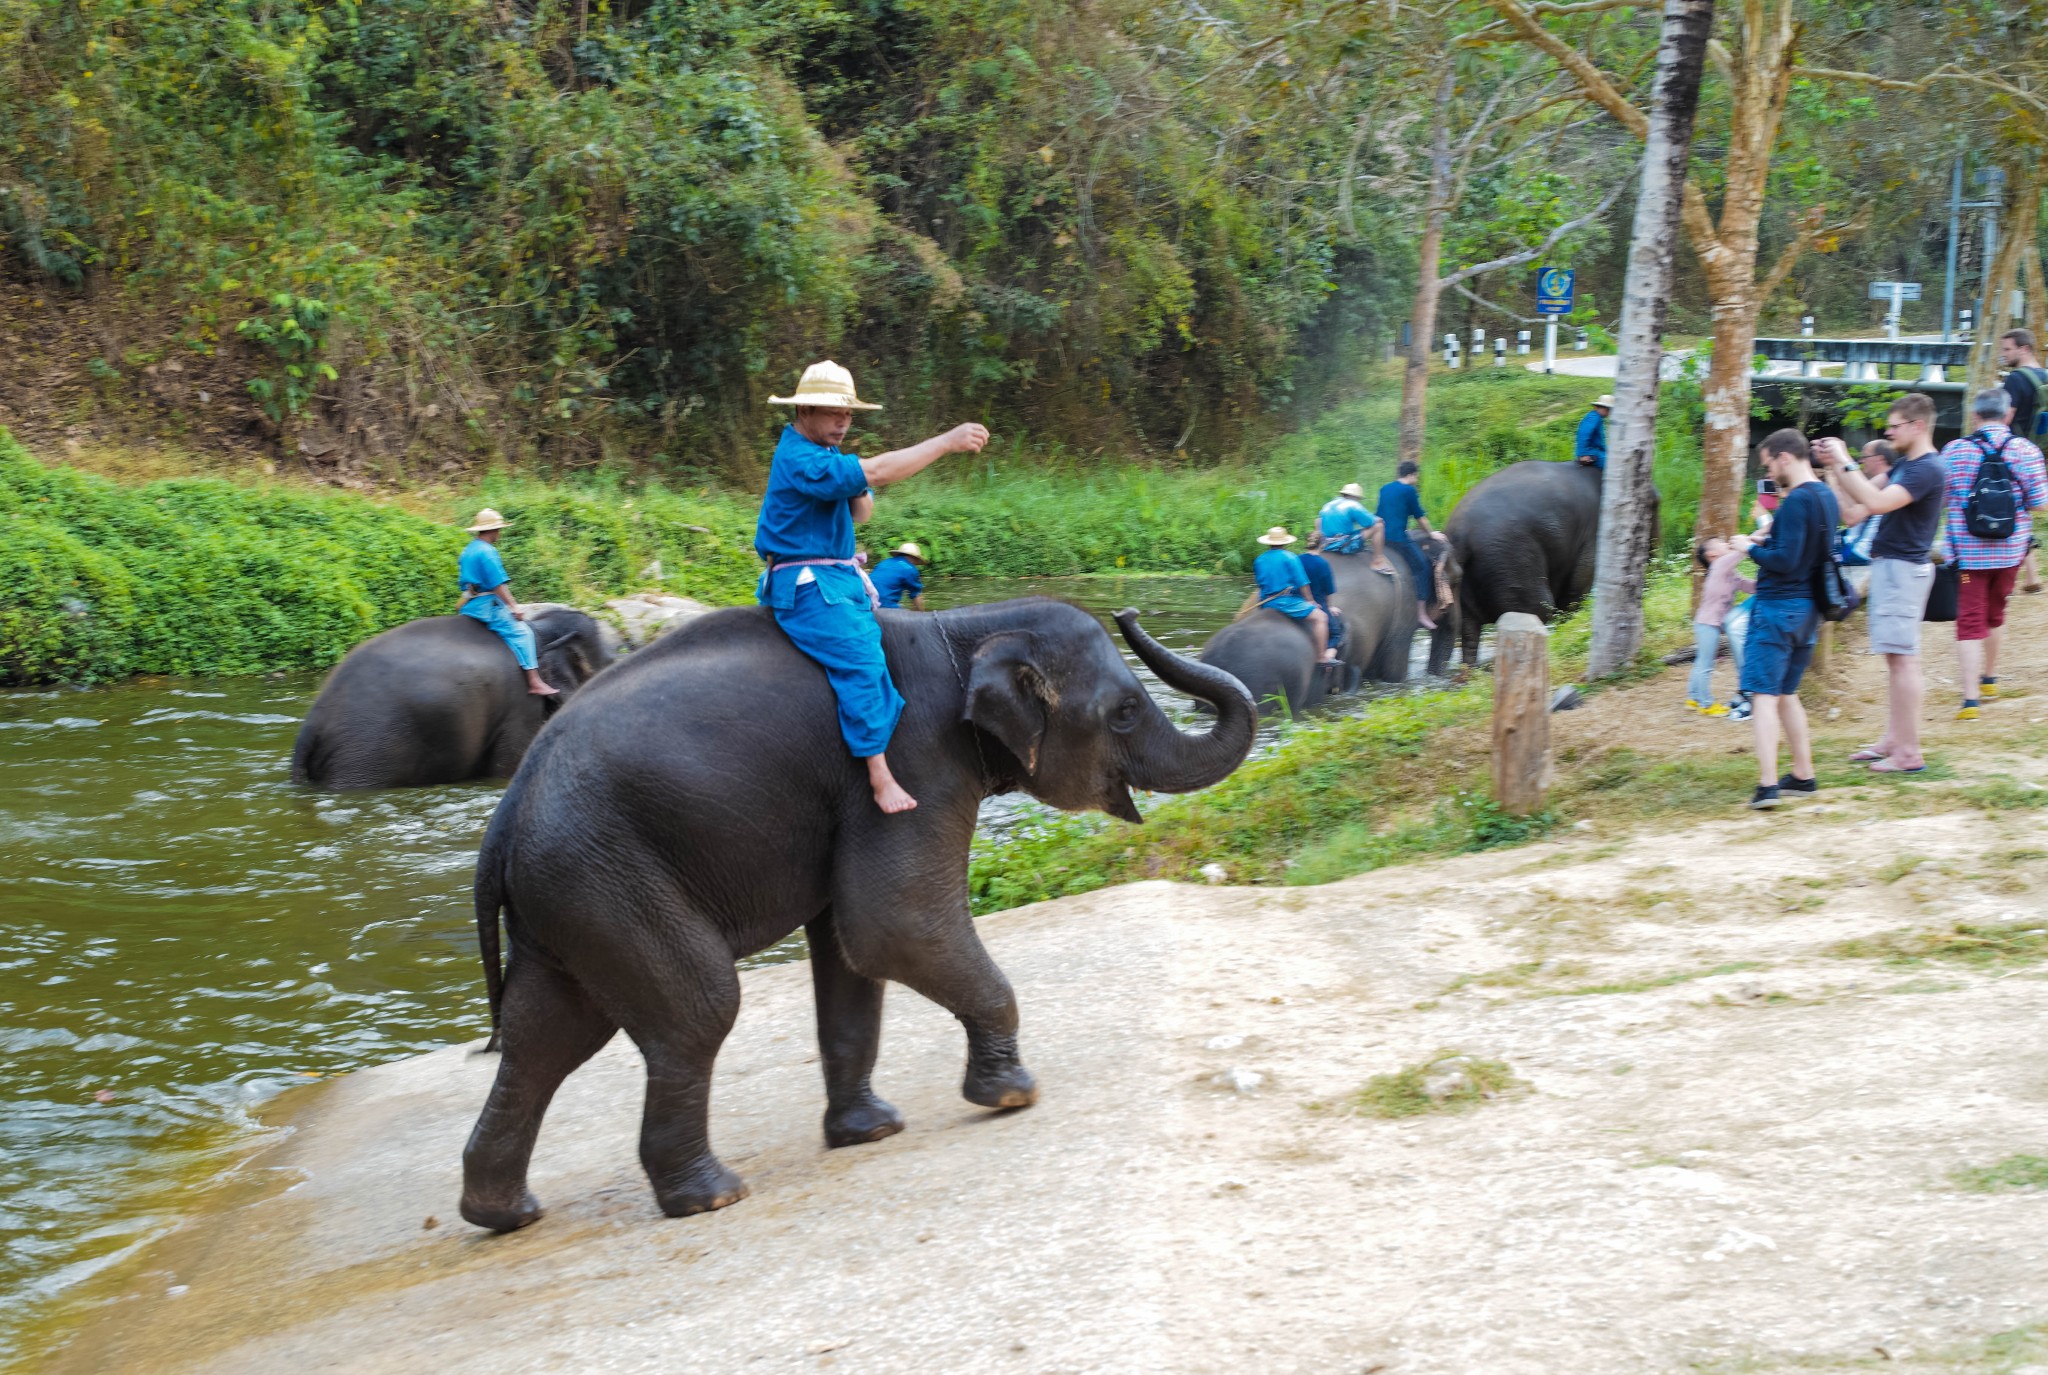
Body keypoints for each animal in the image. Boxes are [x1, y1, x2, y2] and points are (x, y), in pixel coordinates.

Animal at [458, 598, 1253, 1229]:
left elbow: (850, 952)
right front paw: (1013, 1095)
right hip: (603, 869)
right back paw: (711, 1197)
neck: (962, 629)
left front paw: (871, 1132)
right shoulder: (910, 759)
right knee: (695, 1008)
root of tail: (503, 818)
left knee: (549, 1033)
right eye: (1125, 710)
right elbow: (893, 922)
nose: (1132, 611)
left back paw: (503, 1214)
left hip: (572, 890)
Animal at [1433, 463, 1654, 672]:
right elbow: (1576, 590)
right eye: (1655, 505)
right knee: (1536, 609)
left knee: (1469, 627)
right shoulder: (1594, 534)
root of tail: (1460, 535)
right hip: (1512, 560)